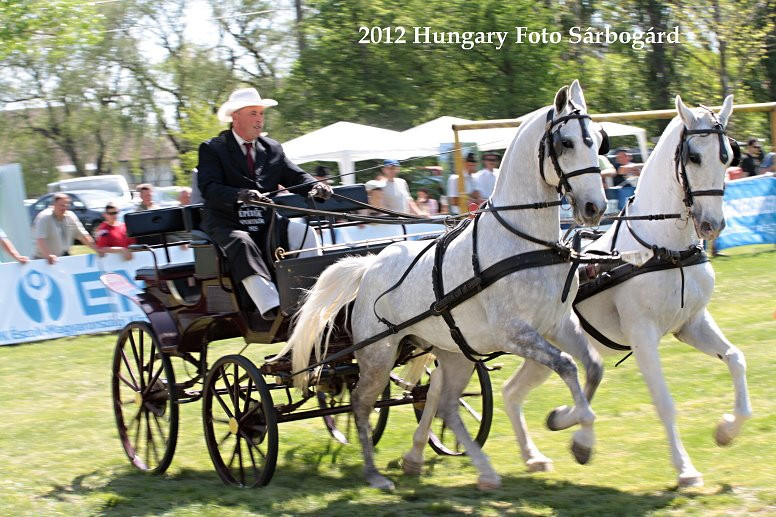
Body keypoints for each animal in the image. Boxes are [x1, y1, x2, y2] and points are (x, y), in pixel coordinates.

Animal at [278, 79, 612, 488]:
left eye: (599, 141)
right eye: (566, 143)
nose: (596, 208)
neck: (525, 244)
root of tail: (370, 264)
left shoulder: (557, 324)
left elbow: (592, 367)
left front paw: (569, 428)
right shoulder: (515, 333)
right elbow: (567, 366)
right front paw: (578, 432)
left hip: (456, 350)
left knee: (448, 403)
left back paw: (476, 470)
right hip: (378, 354)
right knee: (361, 403)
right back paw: (375, 474)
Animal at [540, 94, 744, 486]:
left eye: (727, 156)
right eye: (693, 156)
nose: (713, 224)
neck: (665, 249)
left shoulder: (691, 323)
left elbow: (735, 358)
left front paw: (726, 429)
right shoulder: (643, 333)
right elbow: (664, 401)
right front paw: (685, 470)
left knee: (515, 391)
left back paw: (551, 435)